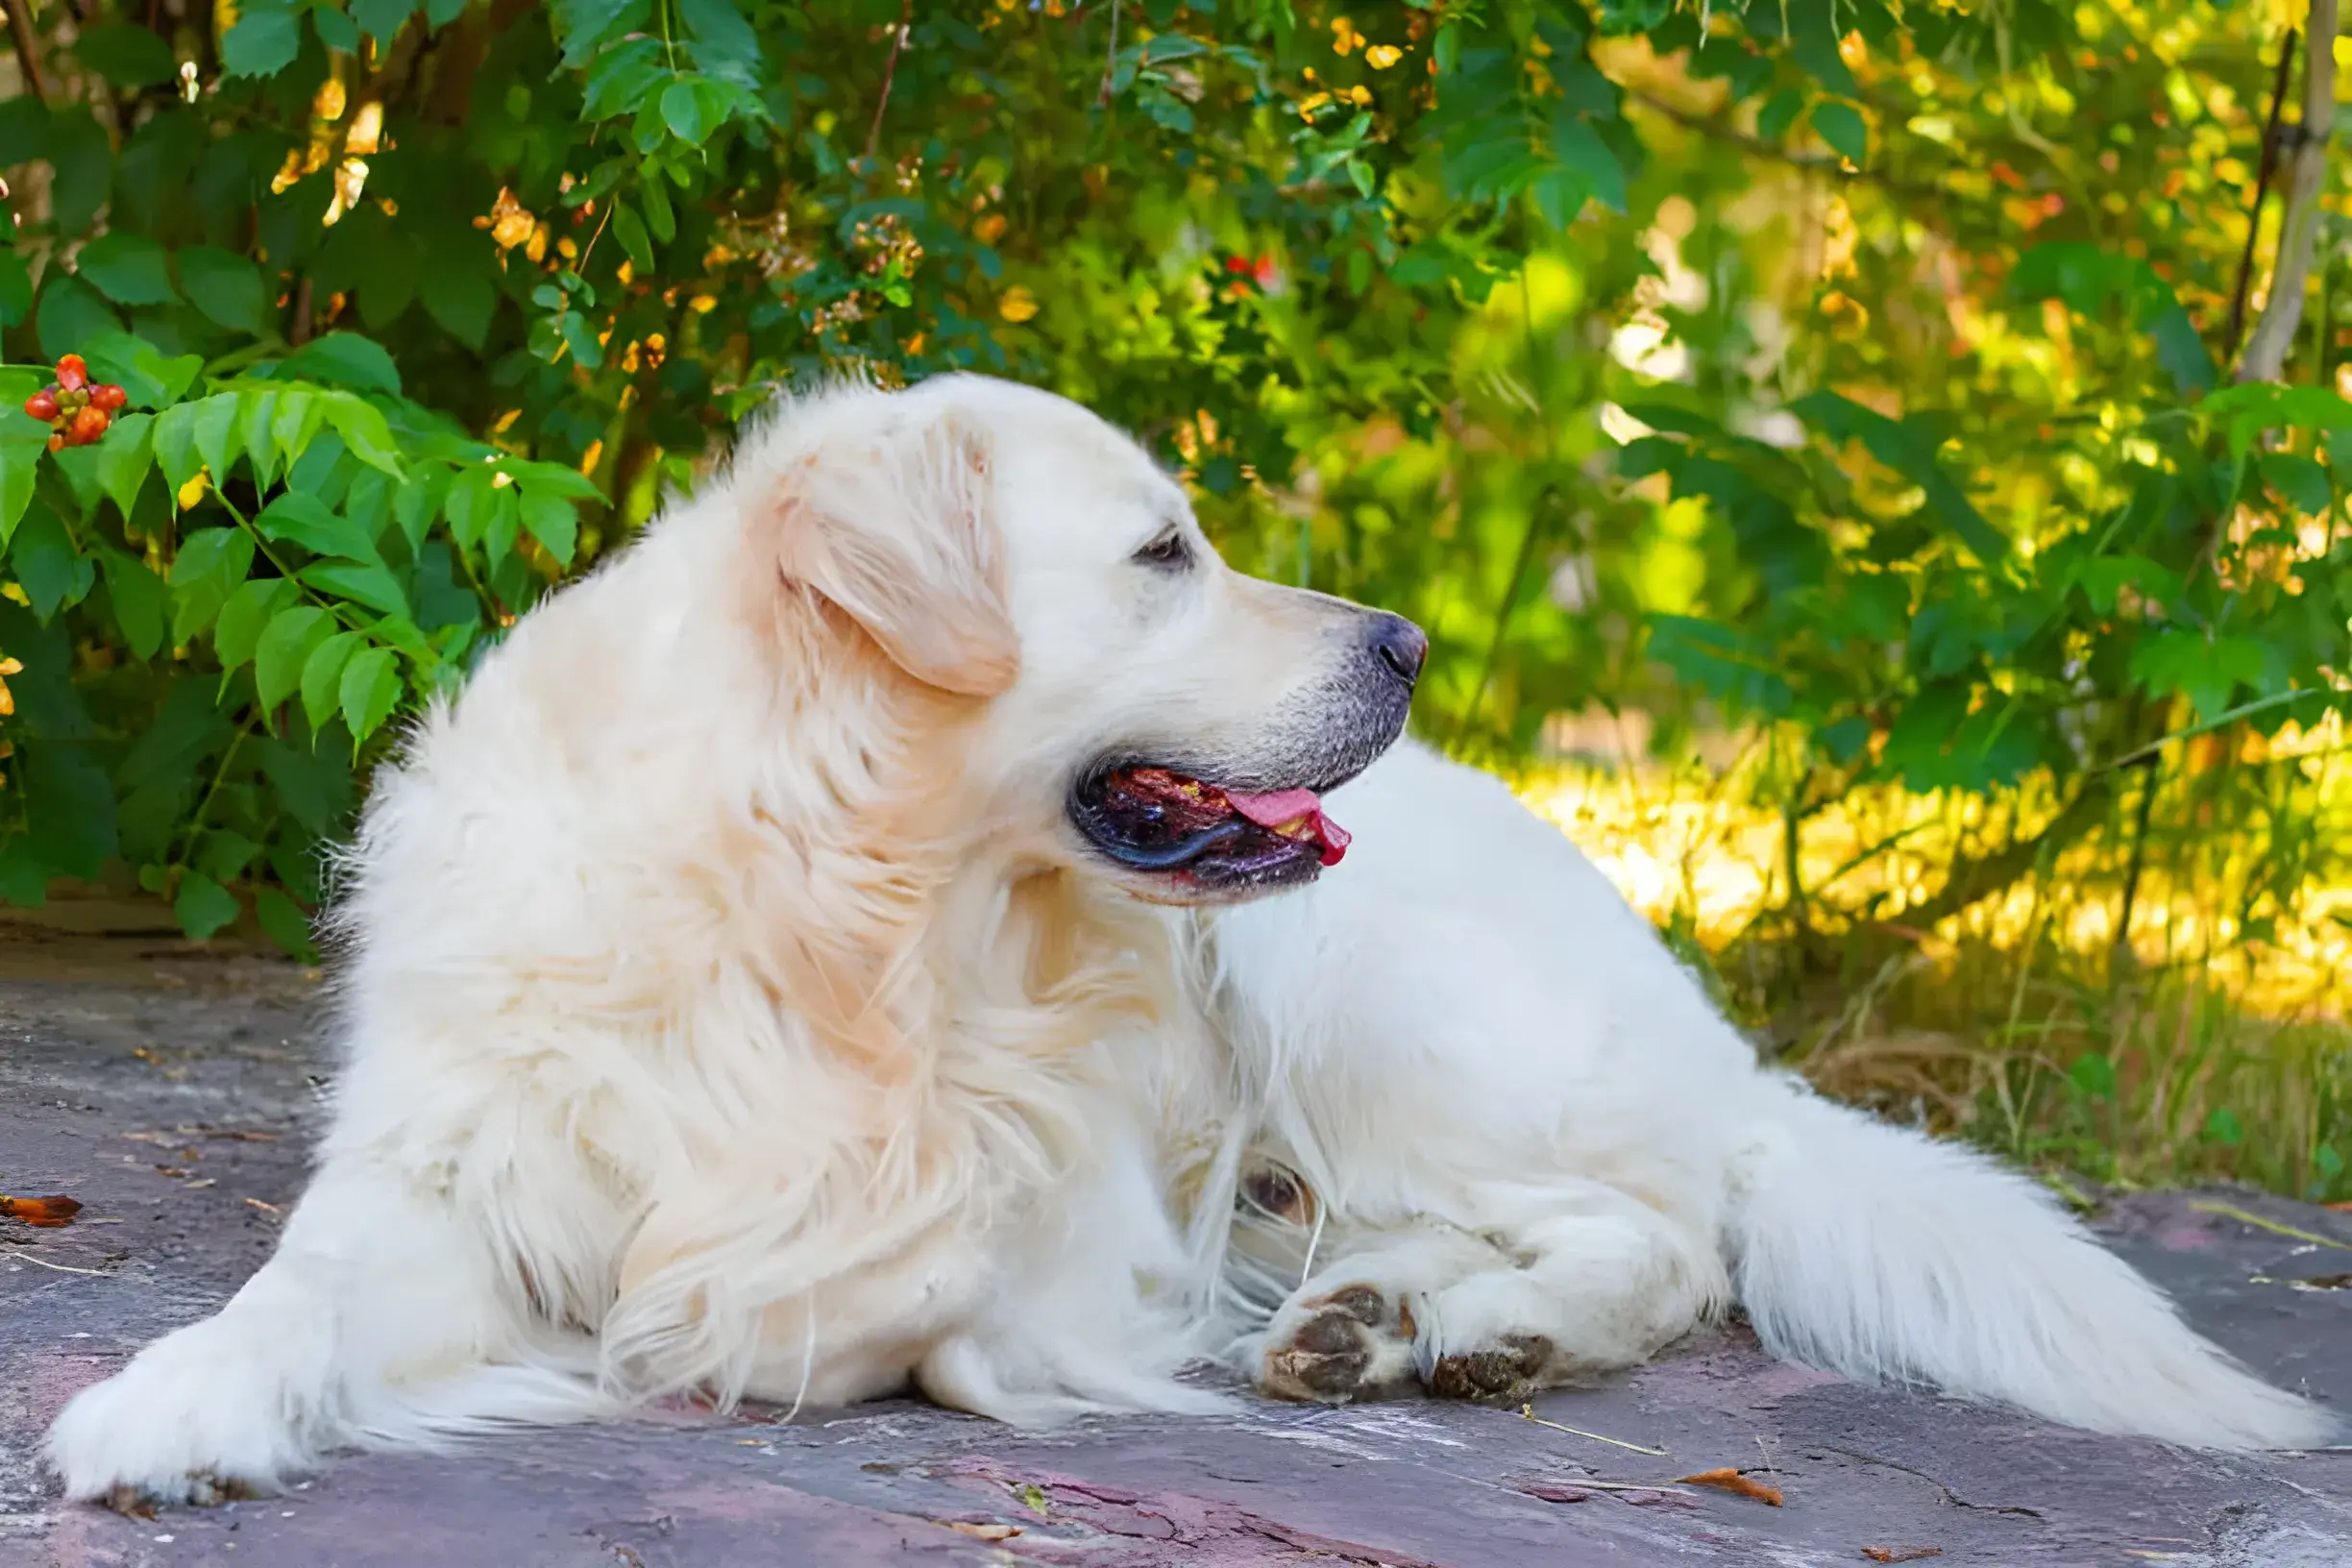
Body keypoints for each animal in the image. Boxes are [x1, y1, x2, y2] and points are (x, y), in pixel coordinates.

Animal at [50, 371, 2333, 1504]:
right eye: (1163, 552)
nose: (1404, 641)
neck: (839, 917)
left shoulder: (1056, 1209)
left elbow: (909, 1298)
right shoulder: (458, 1161)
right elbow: (298, 1291)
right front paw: (167, 1407)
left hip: (1369, 978)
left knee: (1665, 1234)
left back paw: (1462, 1323)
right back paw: (1378, 1314)